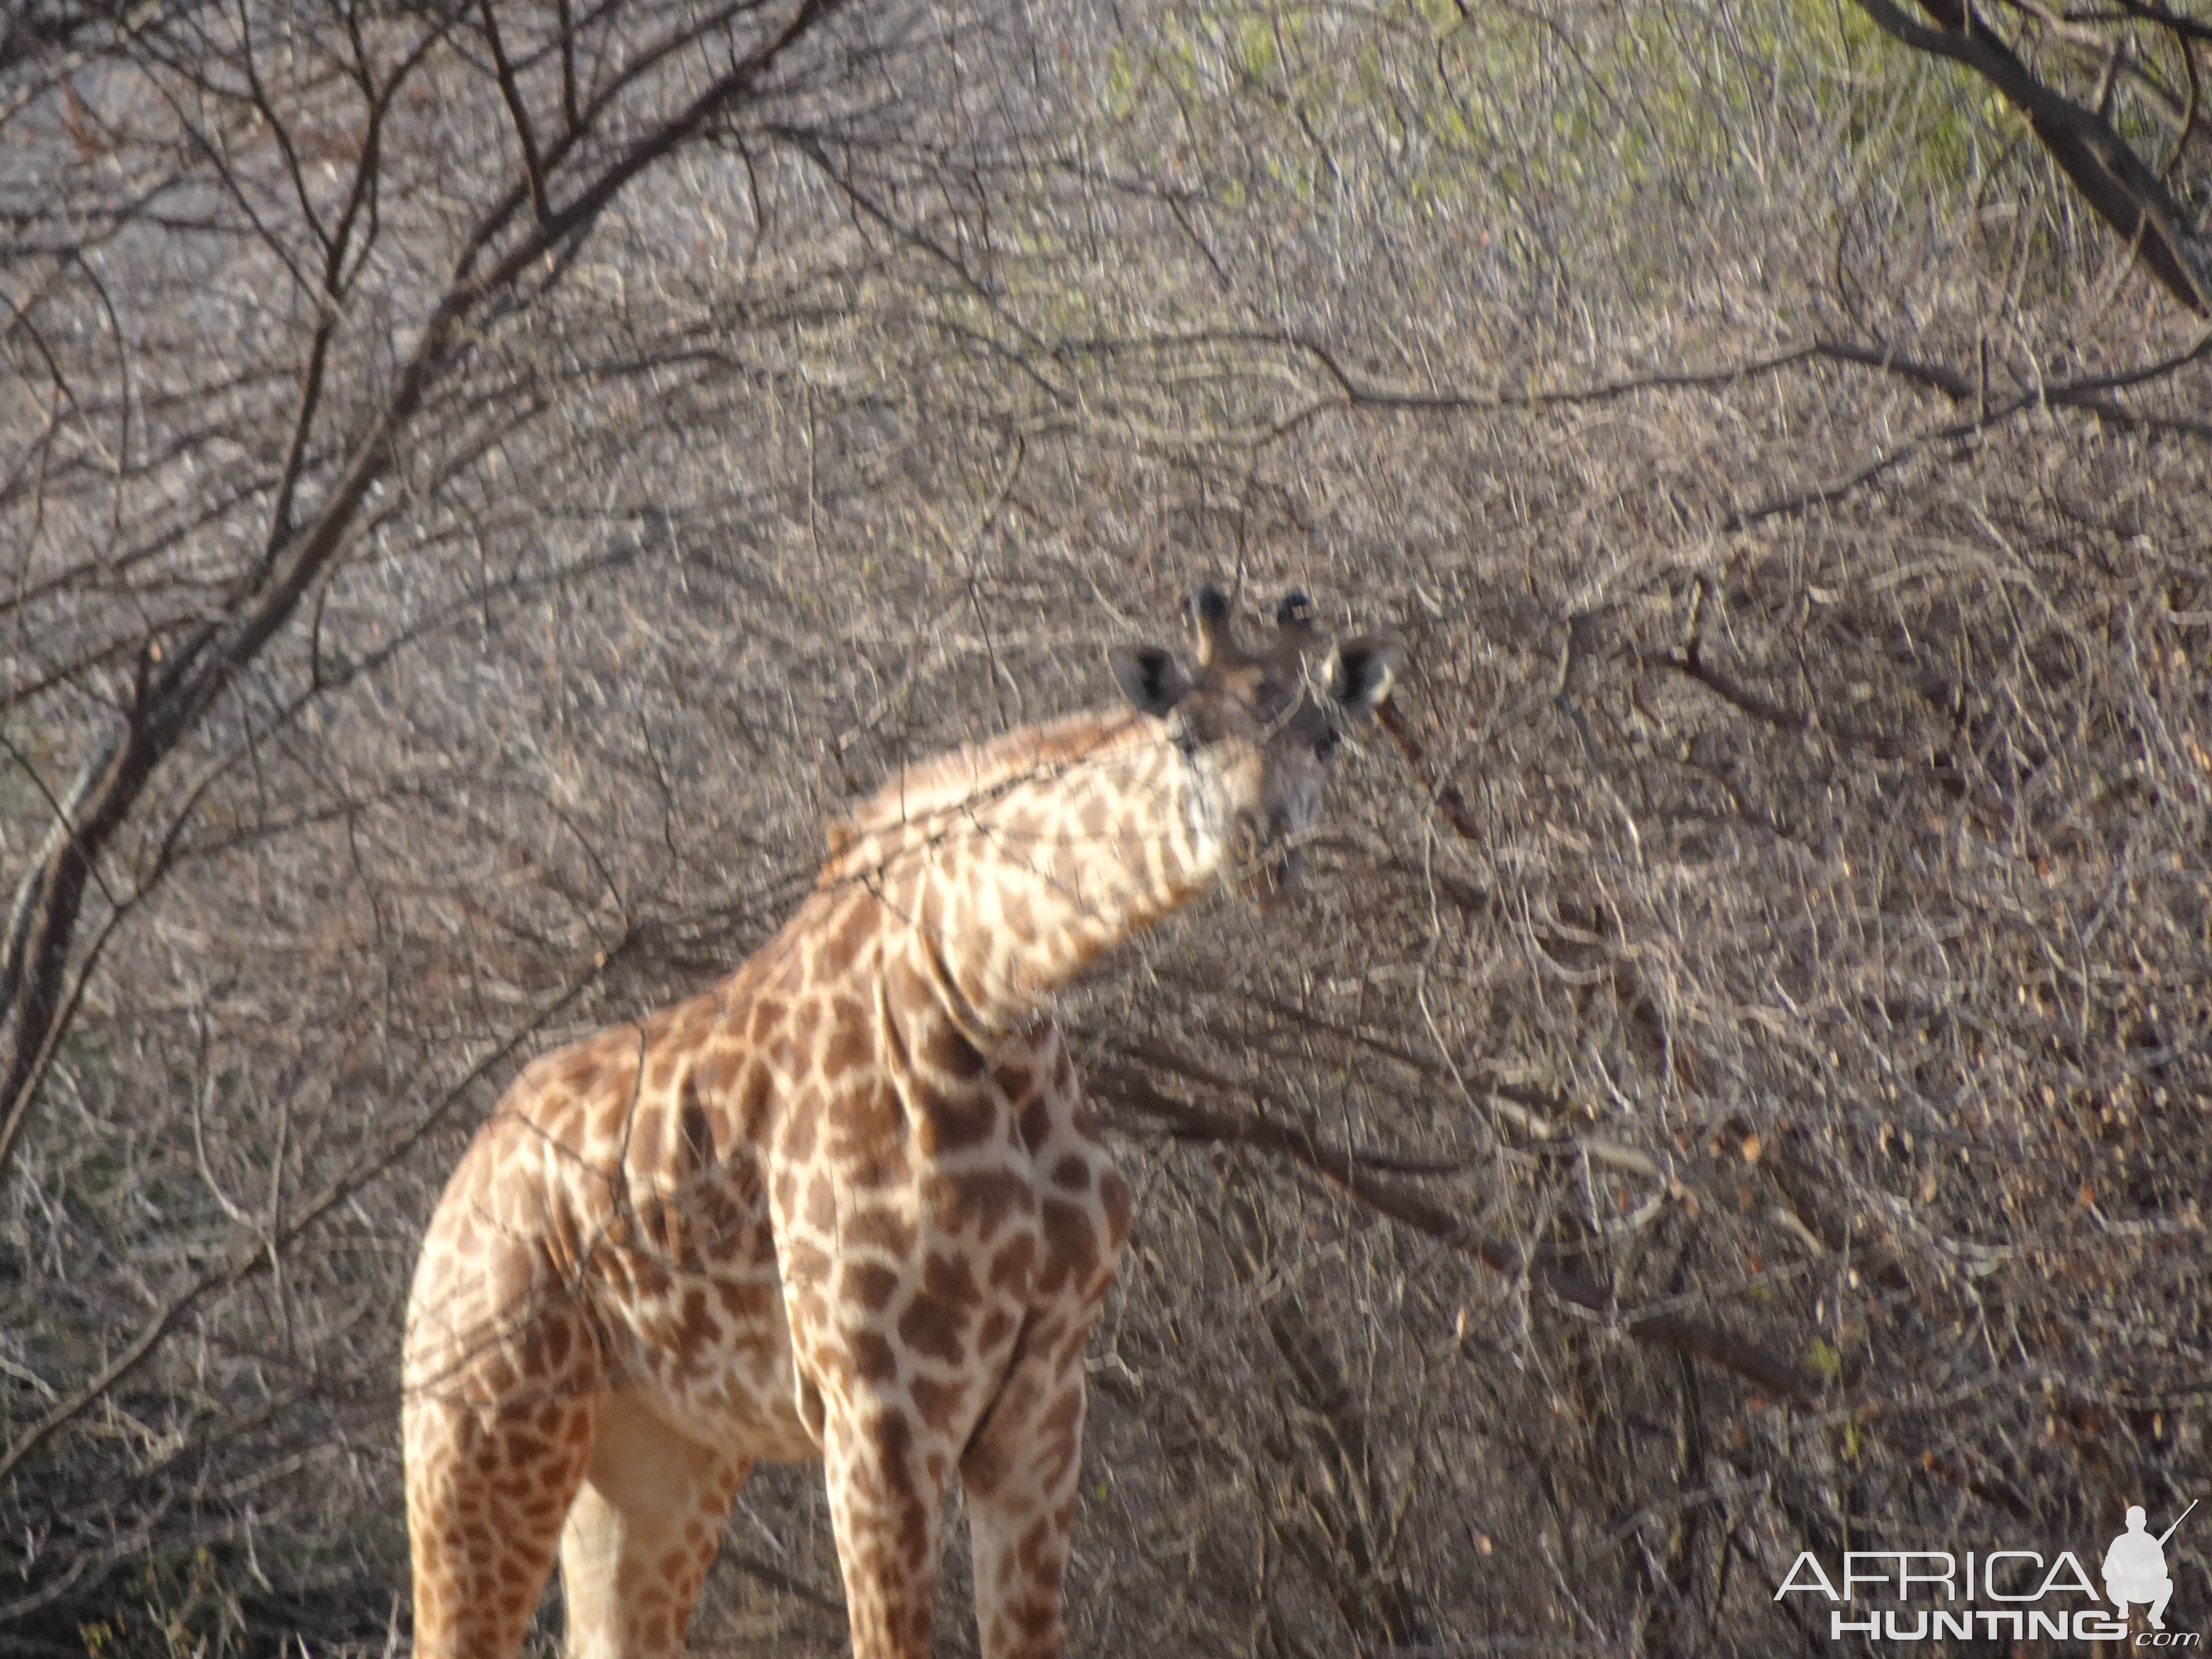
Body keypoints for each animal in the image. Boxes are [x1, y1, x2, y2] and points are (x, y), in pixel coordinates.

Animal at [398, 584, 1398, 1659]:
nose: (1263, 853)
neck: (986, 991)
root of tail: (461, 1188)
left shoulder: (1043, 1405)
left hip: (660, 1453)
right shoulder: (878, 1408)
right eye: (1187, 734)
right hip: (482, 1426)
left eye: (1327, 735)